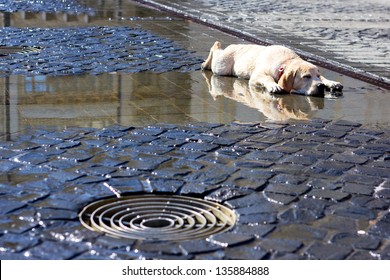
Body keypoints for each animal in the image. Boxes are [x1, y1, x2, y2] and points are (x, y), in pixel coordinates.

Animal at [203, 41, 342, 97]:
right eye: (306, 77)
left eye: (317, 76)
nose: (320, 87)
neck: (286, 62)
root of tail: (232, 45)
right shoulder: (257, 75)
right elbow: (267, 78)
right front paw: (274, 86)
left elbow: (324, 77)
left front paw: (331, 83)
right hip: (222, 66)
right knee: (215, 50)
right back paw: (206, 62)